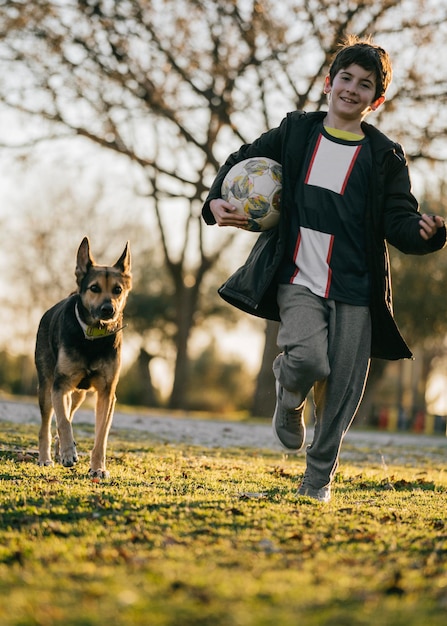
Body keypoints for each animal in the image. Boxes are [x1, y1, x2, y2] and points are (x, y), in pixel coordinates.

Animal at [34, 236, 132, 476]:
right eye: (94, 288)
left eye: (117, 289)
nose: (108, 310)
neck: (94, 337)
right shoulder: (59, 386)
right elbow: (62, 421)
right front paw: (69, 453)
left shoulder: (107, 393)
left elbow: (101, 436)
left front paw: (97, 468)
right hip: (46, 388)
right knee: (47, 424)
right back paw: (46, 457)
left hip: (79, 394)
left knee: (69, 412)